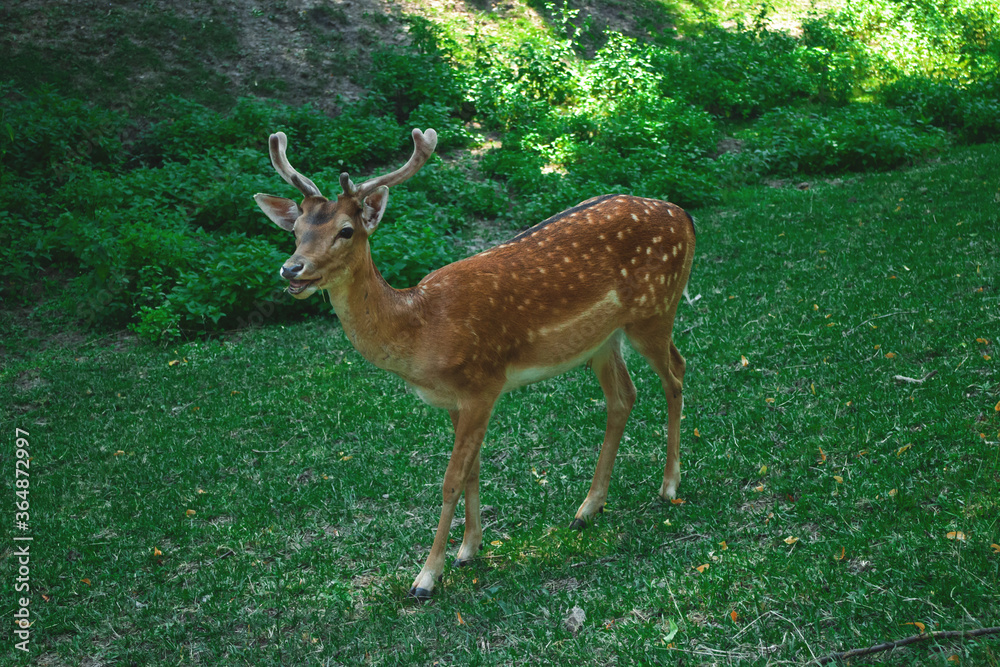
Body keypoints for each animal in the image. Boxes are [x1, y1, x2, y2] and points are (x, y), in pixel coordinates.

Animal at [254, 128, 695, 600]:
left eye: (346, 230)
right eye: (295, 230)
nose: (292, 269)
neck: (422, 331)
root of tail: (685, 216)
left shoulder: (484, 384)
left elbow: (450, 478)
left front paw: (427, 577)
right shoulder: (454, 399)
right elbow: (472, 469)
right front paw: (469, 549)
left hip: (655, 310)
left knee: (676, 372)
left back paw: (669, 486)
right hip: (602, 341)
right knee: (623, 397)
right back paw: (587, 509)